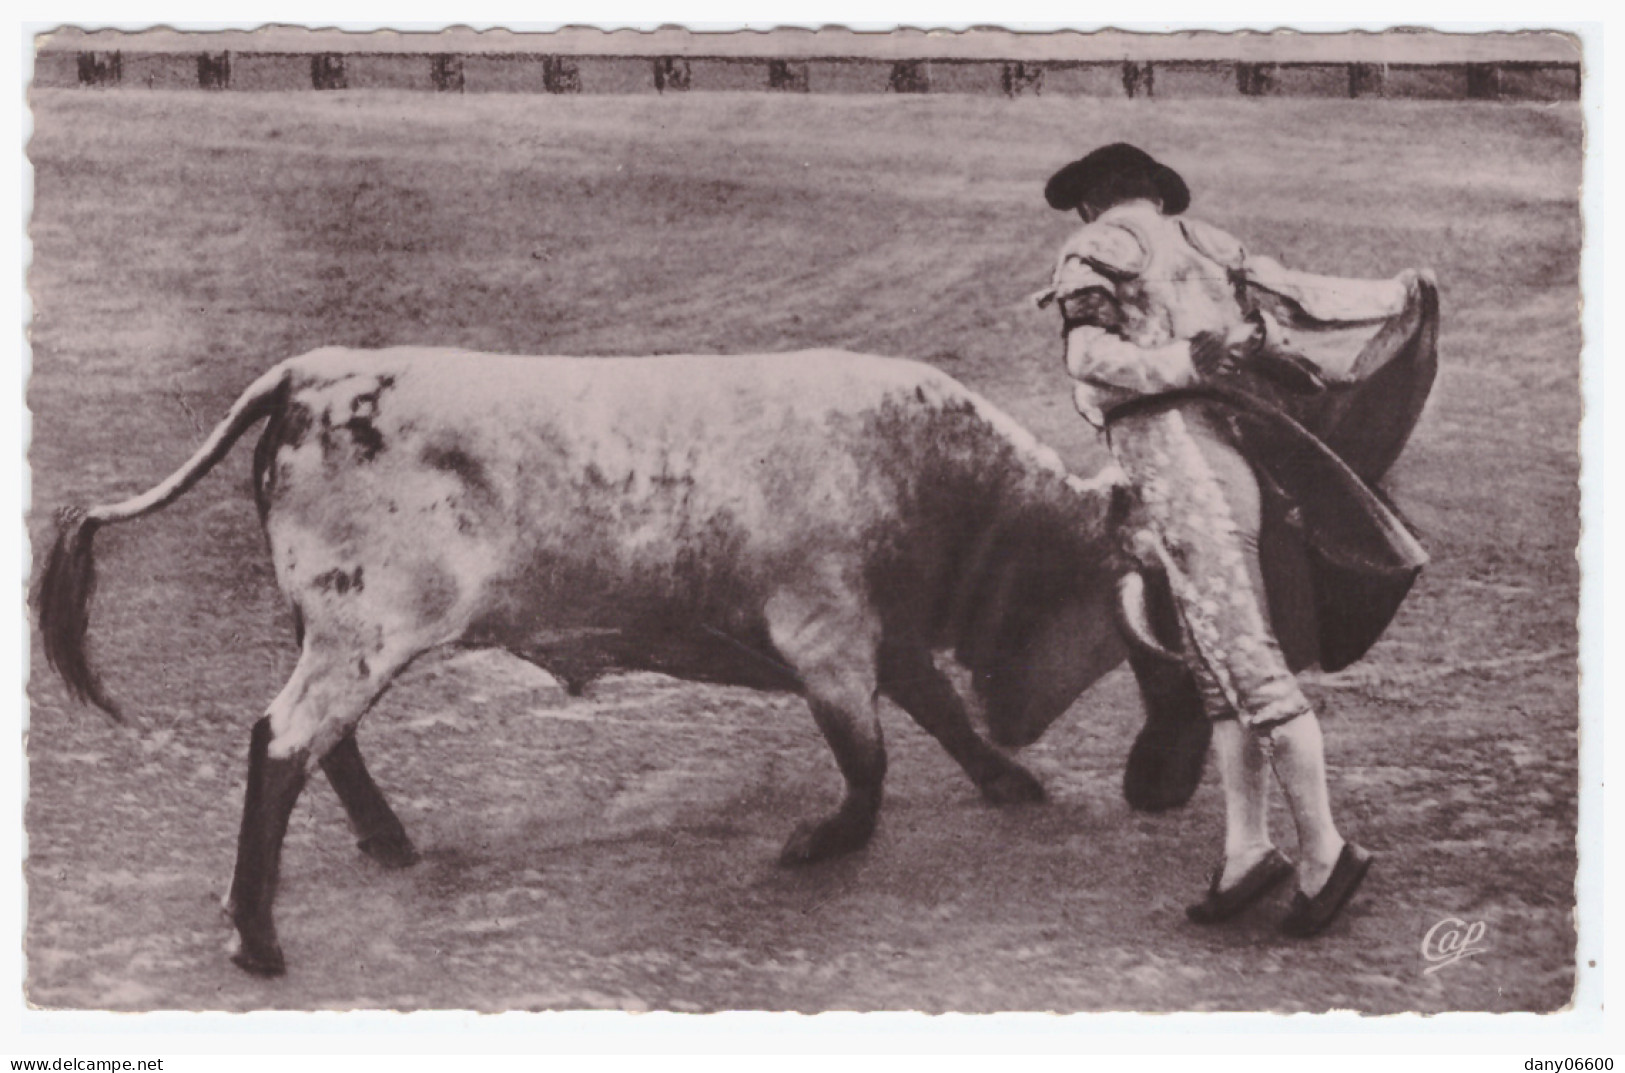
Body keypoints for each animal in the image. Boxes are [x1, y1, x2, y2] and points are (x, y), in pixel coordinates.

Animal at [44, 347, 1202, 975]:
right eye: (1165, 655)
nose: (1168, 785)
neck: (944, 479)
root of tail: (316, 370)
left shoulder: (885, 635)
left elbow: (938, 716)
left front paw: (1009, 780)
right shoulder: (825, 634)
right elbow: (868, 761)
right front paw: (816, 841)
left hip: (337, 633)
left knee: (324, 743)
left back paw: (383, 841)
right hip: (361, 630)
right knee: (281, 742)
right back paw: (257, 932)